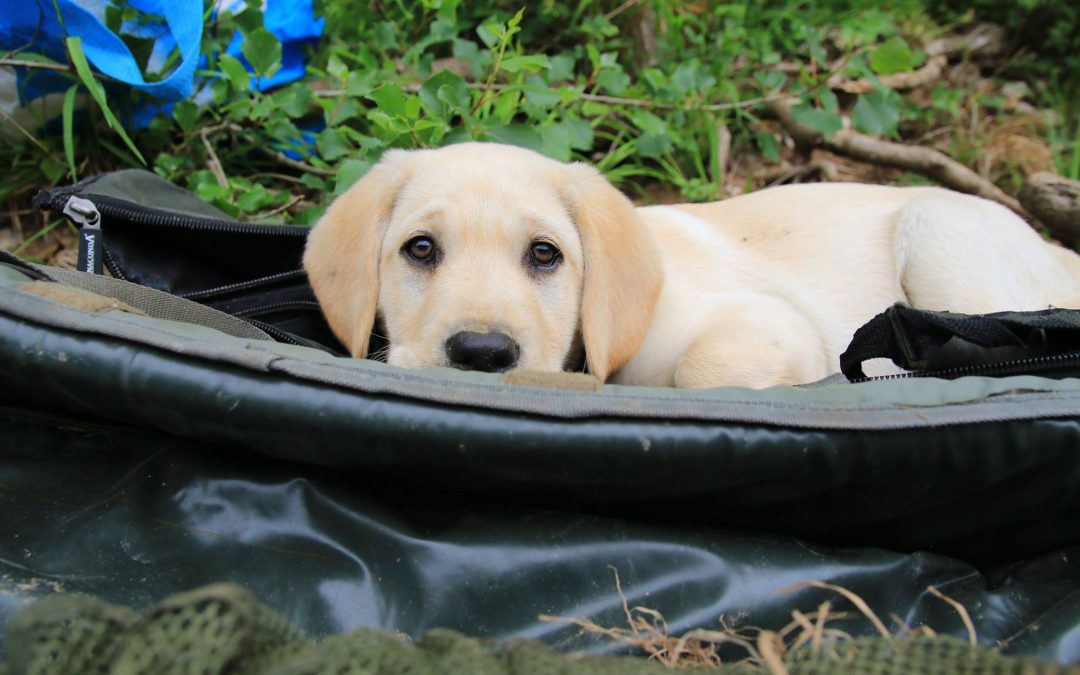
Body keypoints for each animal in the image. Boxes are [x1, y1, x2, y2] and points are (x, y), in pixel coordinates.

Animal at [302, 140, 1080, 388]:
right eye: (420, 249)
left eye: (544, 254)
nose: (482, 353)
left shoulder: (775, 322)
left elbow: (710, 365)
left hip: (942, 235)